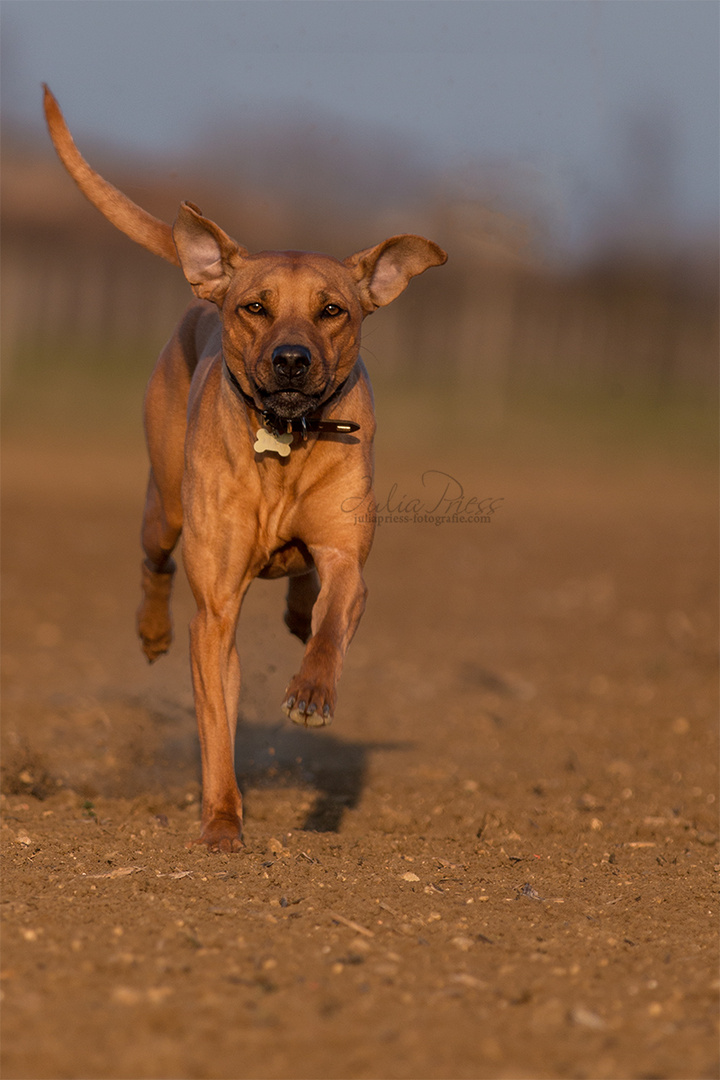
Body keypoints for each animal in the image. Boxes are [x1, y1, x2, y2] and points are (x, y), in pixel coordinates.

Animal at [42, 86, 446, 851]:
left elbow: (333, 618)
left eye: (333, 310)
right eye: (255, 308)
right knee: (154, 562)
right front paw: (222, 822)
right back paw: (152, 630)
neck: (284, 442)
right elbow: (216, 722)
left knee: (305, 586)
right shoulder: (216, 609)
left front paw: (311, 692)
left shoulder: (347, 556)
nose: (291, 359)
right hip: (165, 503)